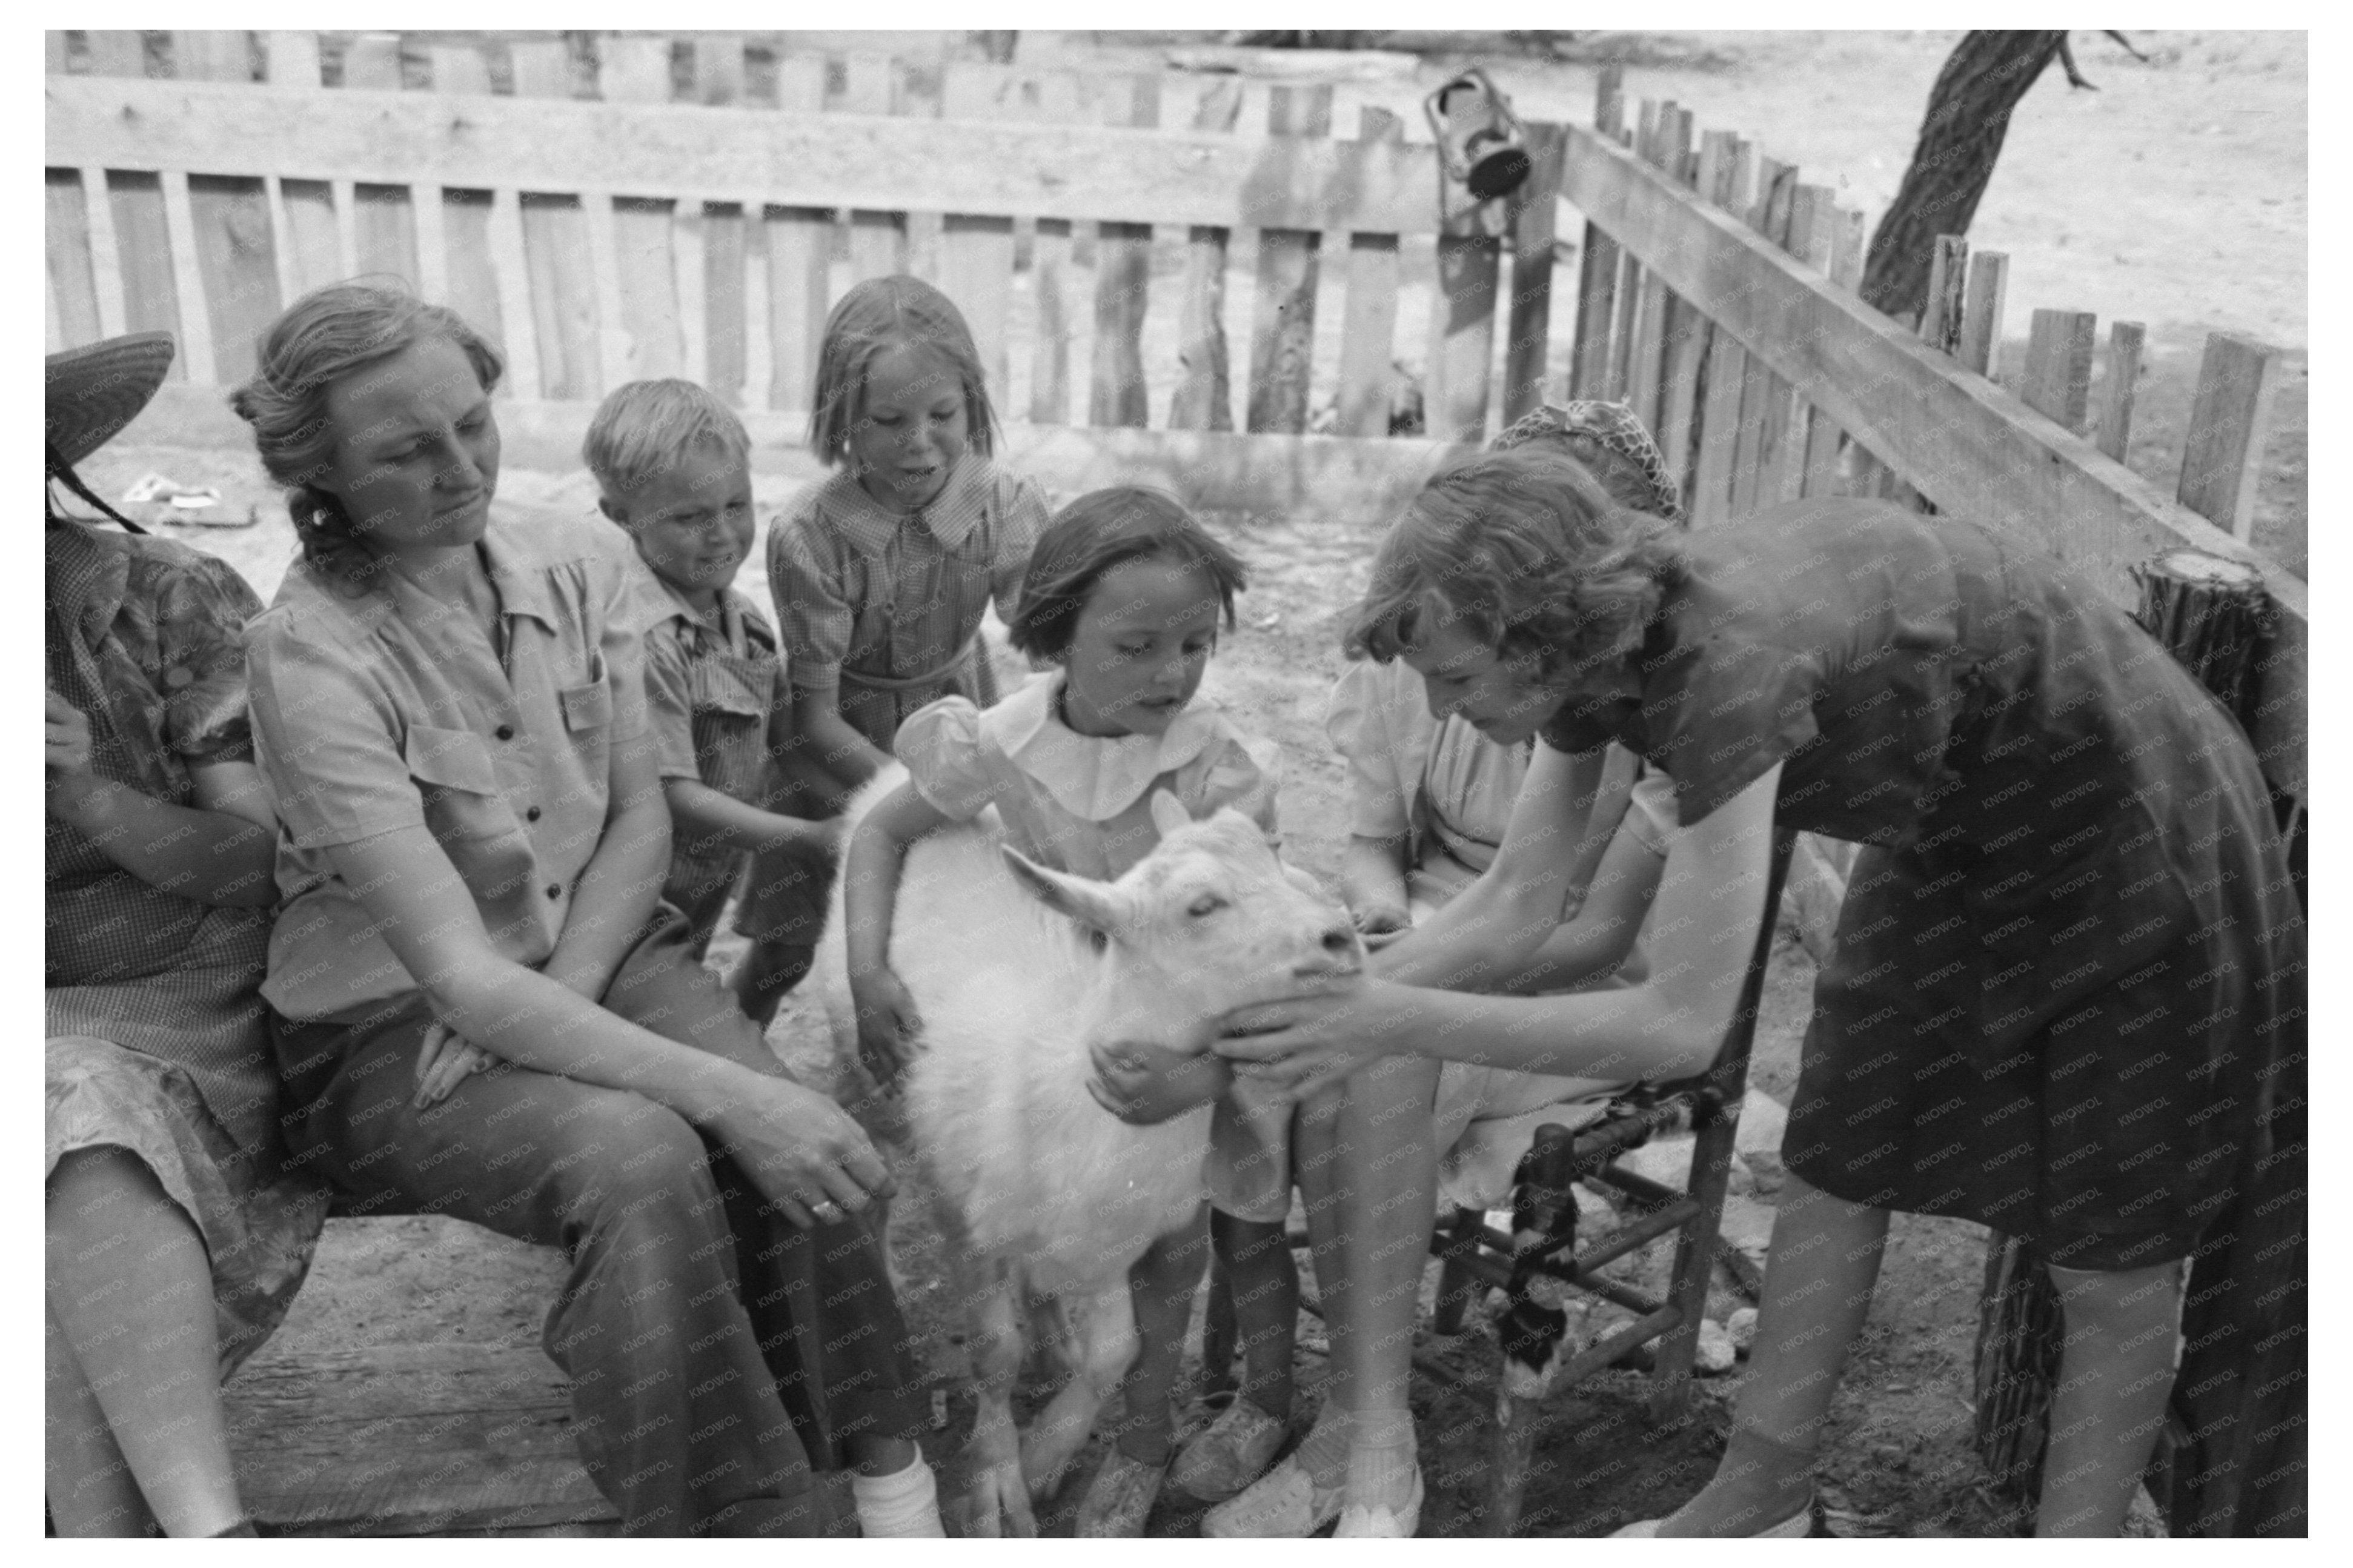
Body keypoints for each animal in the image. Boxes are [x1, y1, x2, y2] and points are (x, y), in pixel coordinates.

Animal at [805, 767, 1364, 1526]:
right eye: (1201, 905)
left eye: (1277, 859)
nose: (1342, 939)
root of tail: (888, 772)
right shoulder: (965, 1219)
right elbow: (992, 1350)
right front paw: (997, 1487)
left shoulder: (1115, 1240)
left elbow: (1118, 1351)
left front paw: (1044, 1454)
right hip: (862, 1067)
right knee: (871, 1166)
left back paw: (1053, 1345)